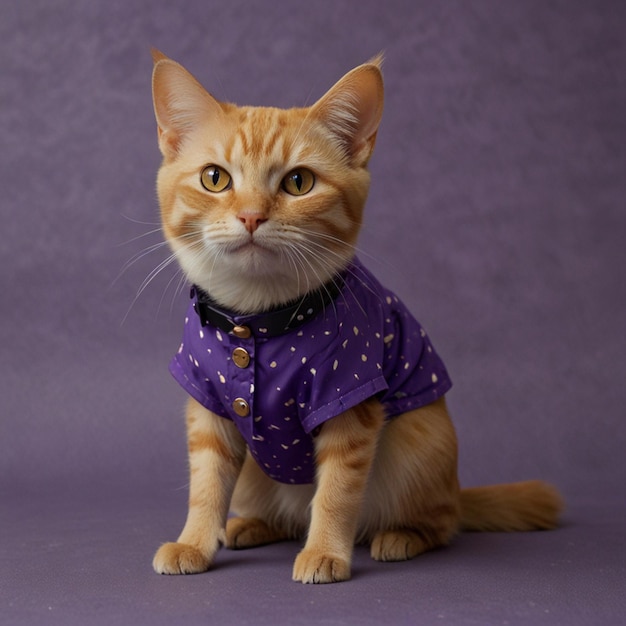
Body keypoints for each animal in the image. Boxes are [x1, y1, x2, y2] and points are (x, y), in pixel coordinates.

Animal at [147, 51, 560, 584]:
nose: (252, 216)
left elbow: (337, 491)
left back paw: (401, 537)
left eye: (298, 182)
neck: (257, 323)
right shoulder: (208, 401)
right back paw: (252, 525)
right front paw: (194, 542)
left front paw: (326, 552)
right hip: (259, 474)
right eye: (214, 178)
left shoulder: (351, 395)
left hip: (418, 444)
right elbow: (206, 482)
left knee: (441, 521)